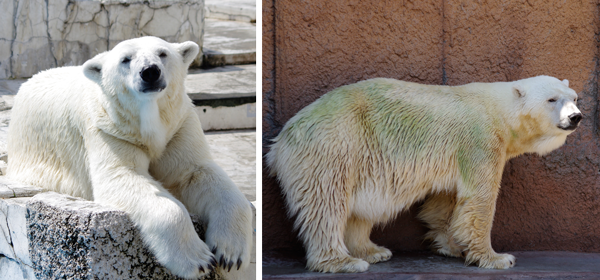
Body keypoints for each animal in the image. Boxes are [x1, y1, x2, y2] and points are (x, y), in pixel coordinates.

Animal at [7, 36, 251, 278]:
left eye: (163, 53)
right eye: (125, 59)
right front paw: (199, 260)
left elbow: (197, 173)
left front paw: (231, 254)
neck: (147, 124)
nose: (150, 72)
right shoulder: (109, 131)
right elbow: (122, 176)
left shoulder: (178, 127)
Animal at [266, 76, 580, 274]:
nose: (575, 117)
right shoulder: (480, 139)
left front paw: (449, 245)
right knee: (326, 203)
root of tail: (279, 143)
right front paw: (496, 257)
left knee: (358, 210)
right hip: (333, 146)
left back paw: (372, 251)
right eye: (552, 99)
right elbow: (479, 199)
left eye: (574, 97)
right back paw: (343, 262)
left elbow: (446, 197)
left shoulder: (456, 156)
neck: (499, 110)